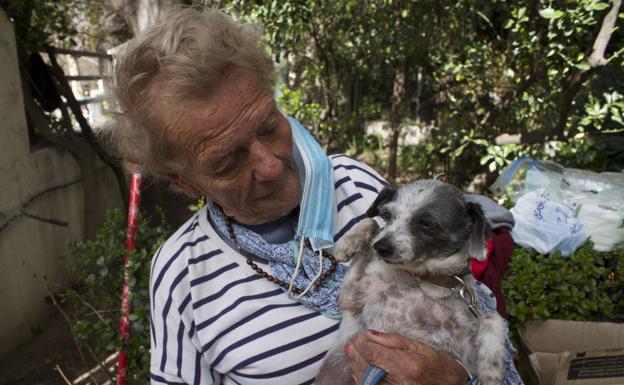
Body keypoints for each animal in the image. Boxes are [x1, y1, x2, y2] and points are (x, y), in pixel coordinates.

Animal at [316, 180, 508, 384]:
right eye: (387, 214)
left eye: (427, 223)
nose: (381, 247)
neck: (421, 282)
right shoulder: (350, 298)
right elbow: (373, 223)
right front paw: (348, 242)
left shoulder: (465, 357)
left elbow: (491, 317)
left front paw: (491, 370)